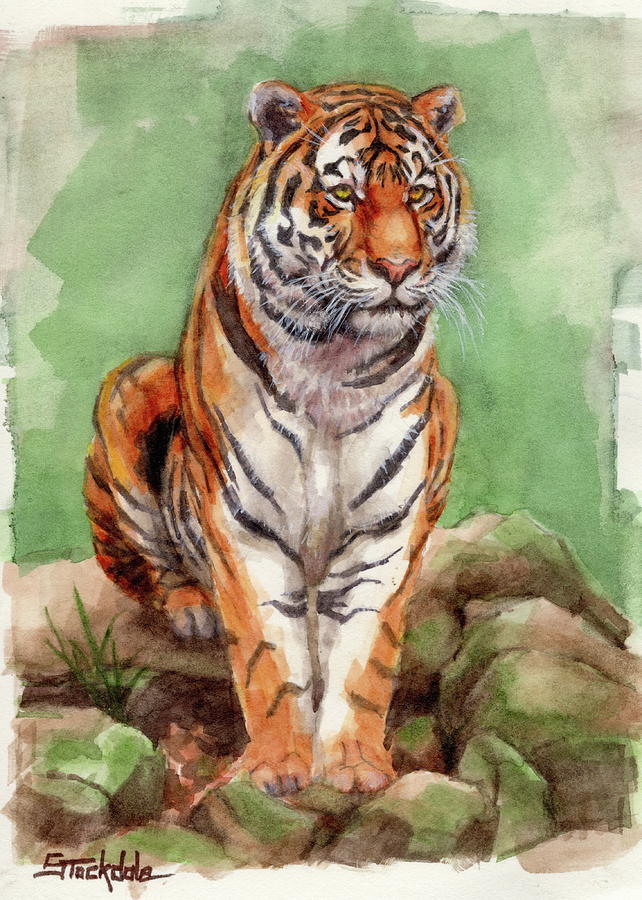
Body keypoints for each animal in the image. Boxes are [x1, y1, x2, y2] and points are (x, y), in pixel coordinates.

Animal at [84, 79, 476, 795]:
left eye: (419, 194)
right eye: (343, 193)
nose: (399, 267)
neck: (336, 364)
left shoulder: (383, 535)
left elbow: (362, 661)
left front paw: (354, 766)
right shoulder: (246, 530)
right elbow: (270, 658)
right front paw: (275, 768)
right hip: (130, 389)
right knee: (141, 567)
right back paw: (192, 608)